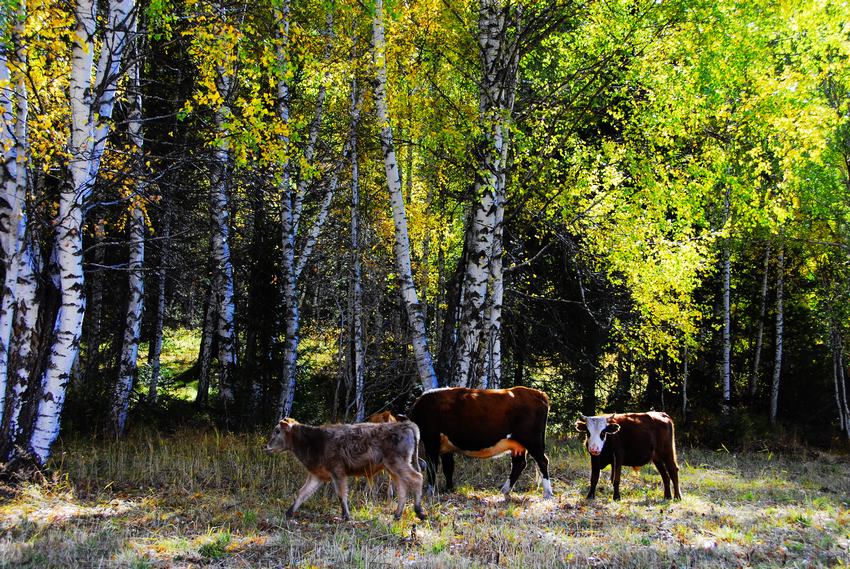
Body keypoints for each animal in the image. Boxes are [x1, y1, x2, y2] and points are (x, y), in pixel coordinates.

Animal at [264, 418, 424, 520]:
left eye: (277, 431)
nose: (267, 446)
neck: (313, 442)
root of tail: (406, 424)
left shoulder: (337, 471)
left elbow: (341, 494)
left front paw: (346, 516)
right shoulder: (317, 475)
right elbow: (302, 493)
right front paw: (289, 512)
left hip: (397, 463)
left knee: (417, 478)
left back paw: (419, 511)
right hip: (393, 467)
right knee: (402, 487)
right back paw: (397, 515)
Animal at [408, 386, 552, 496]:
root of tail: (537, 393)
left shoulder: (431, 442)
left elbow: (432, 468)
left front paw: (430, 493)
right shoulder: (445, 447)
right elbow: (448, 468)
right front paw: (449, 489)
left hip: (532, 440)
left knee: (542, 461)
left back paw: (548, 492)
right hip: (518, 445)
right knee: (519, 464)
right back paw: (505, 490)